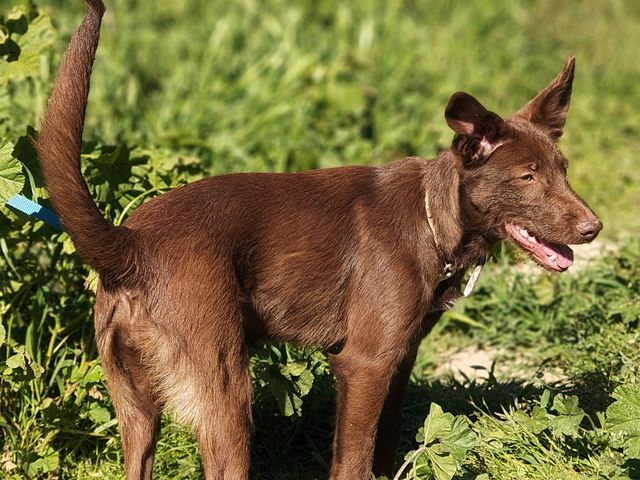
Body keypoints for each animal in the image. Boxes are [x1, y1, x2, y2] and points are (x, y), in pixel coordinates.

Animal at [35, 1, 602, 478]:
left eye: (563, 170)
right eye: (526, 177)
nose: (593, 228)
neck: (431, 220)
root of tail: (132, 246)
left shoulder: (399, 361)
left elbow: (384, 446)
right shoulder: (364, 363)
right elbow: (352, 461)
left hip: (135, 409)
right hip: (225, 392)